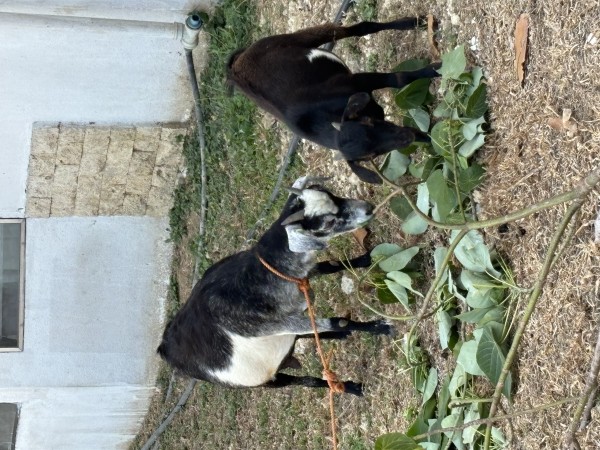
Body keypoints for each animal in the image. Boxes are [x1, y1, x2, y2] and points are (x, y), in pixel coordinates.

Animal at [158, 178, 394, 396]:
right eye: (328, 223)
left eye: (331, 194)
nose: (368, 208)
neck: (256, 275)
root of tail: (164, 349)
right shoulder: (272, 324)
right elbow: (338, 322)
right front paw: (380, 327)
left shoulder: (300, 276)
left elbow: (331, 265)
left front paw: (366, 258)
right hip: (266, 379)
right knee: (305, 379)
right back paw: (348, 387)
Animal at [227, 17, 438, 183]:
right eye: (372, 155)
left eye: (369, 123)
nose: (405, 139)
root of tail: (235, 67)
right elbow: (417, 131)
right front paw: (433, 143)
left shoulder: (356, 80)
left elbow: (398, 79)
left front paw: (435, 69)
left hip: (296, 38)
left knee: (357, 28)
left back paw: (414, 22)